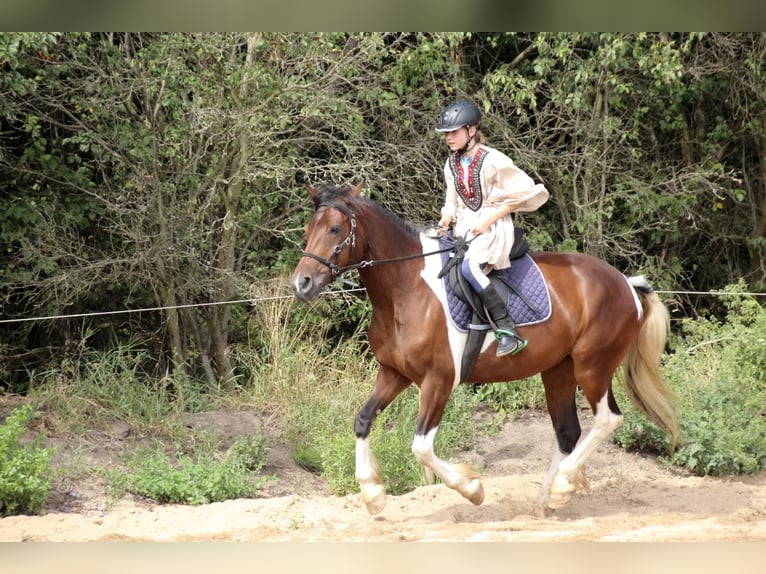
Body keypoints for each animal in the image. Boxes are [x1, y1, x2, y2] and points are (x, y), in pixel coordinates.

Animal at [292, 182, 680, 520]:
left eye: (336, 229)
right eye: (309, 228)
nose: (302, 284)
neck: (406, 288)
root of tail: (625, 283)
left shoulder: (439, 381)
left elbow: (421, 447)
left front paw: (472, 489)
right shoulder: (395, 374)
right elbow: (362, 420)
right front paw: (372, 494)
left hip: (592, 368)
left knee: (607, 419)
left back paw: (562, 487)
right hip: (559, 371)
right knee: (568, 431)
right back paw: (547, 502)